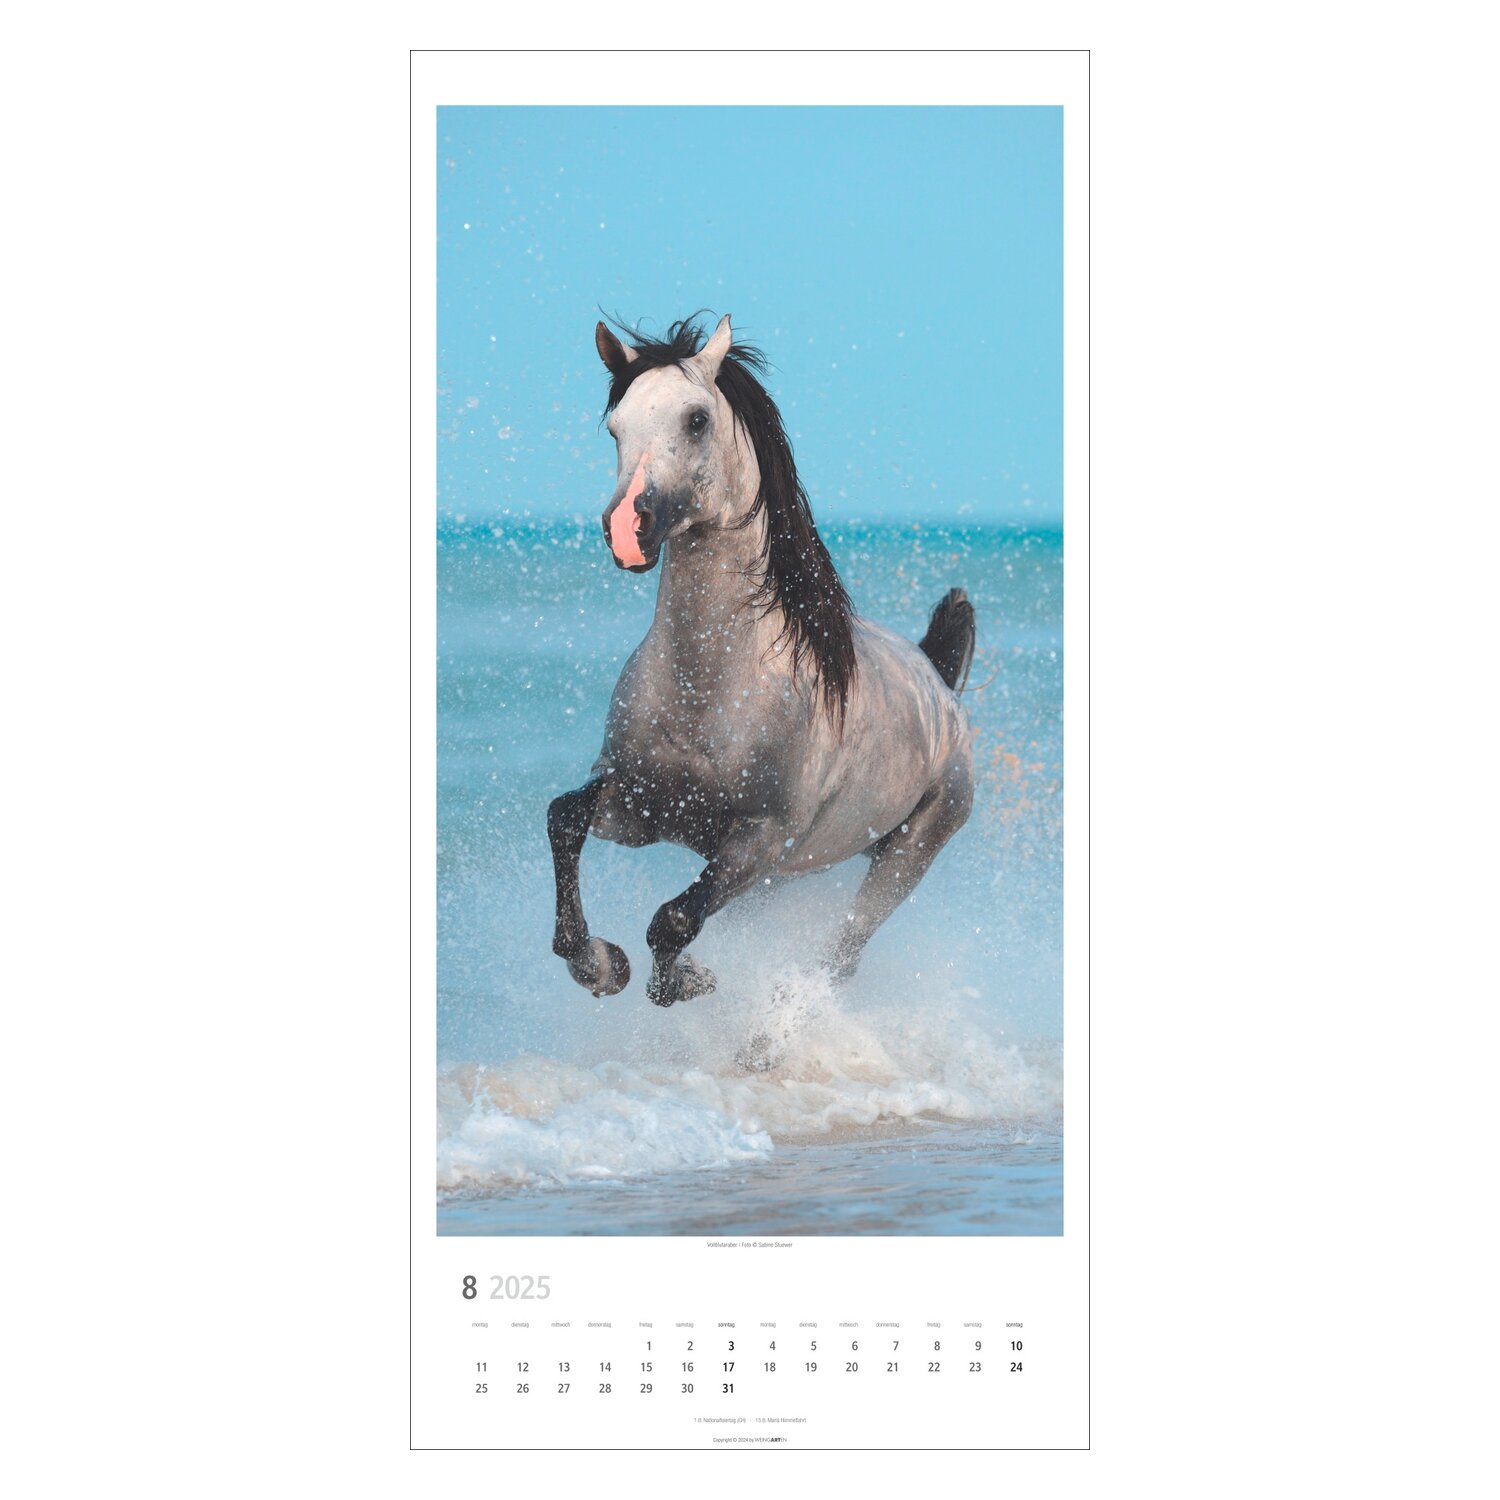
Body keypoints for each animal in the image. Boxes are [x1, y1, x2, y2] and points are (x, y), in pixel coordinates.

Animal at [548, 314, 977, 1007]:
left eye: (696, 419)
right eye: (615, 427)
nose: (626, 531)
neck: (713, 689)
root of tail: (940, 682)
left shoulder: (759, 839)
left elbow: (672, 920)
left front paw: (688, 980)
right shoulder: (637, 805)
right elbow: (565, 817)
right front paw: (599, 963)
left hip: (906, 851)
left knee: (843, 952)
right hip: (784, 877)